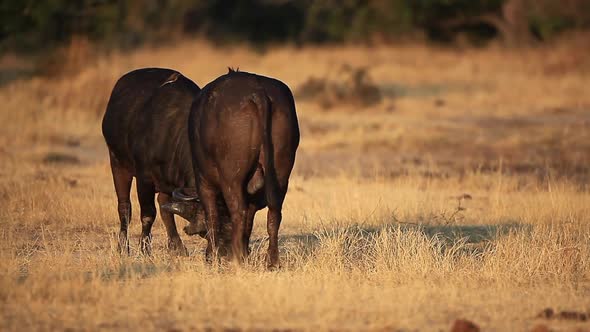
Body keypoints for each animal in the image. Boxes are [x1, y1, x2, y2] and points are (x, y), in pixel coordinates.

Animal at [103, 67, 209, 254]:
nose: (203, 227)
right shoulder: (144, 179)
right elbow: (148, 214)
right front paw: (145, 249)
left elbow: (166, 210)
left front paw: (177, 247)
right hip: (117, 163)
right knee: (124, 207)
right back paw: (123, 247)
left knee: (163, 205)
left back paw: (176, 245)